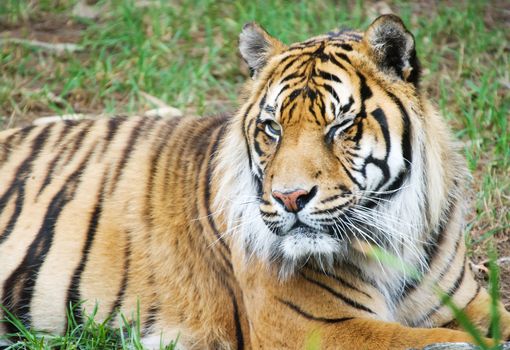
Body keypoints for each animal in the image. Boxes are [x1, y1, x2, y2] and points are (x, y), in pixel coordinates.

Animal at [0, 13, 510, 350]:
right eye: (272, 128)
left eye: (339, 127)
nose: (290, 197)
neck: (392, 237)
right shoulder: (320, 326)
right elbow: (428, 341)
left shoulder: (465, 303)